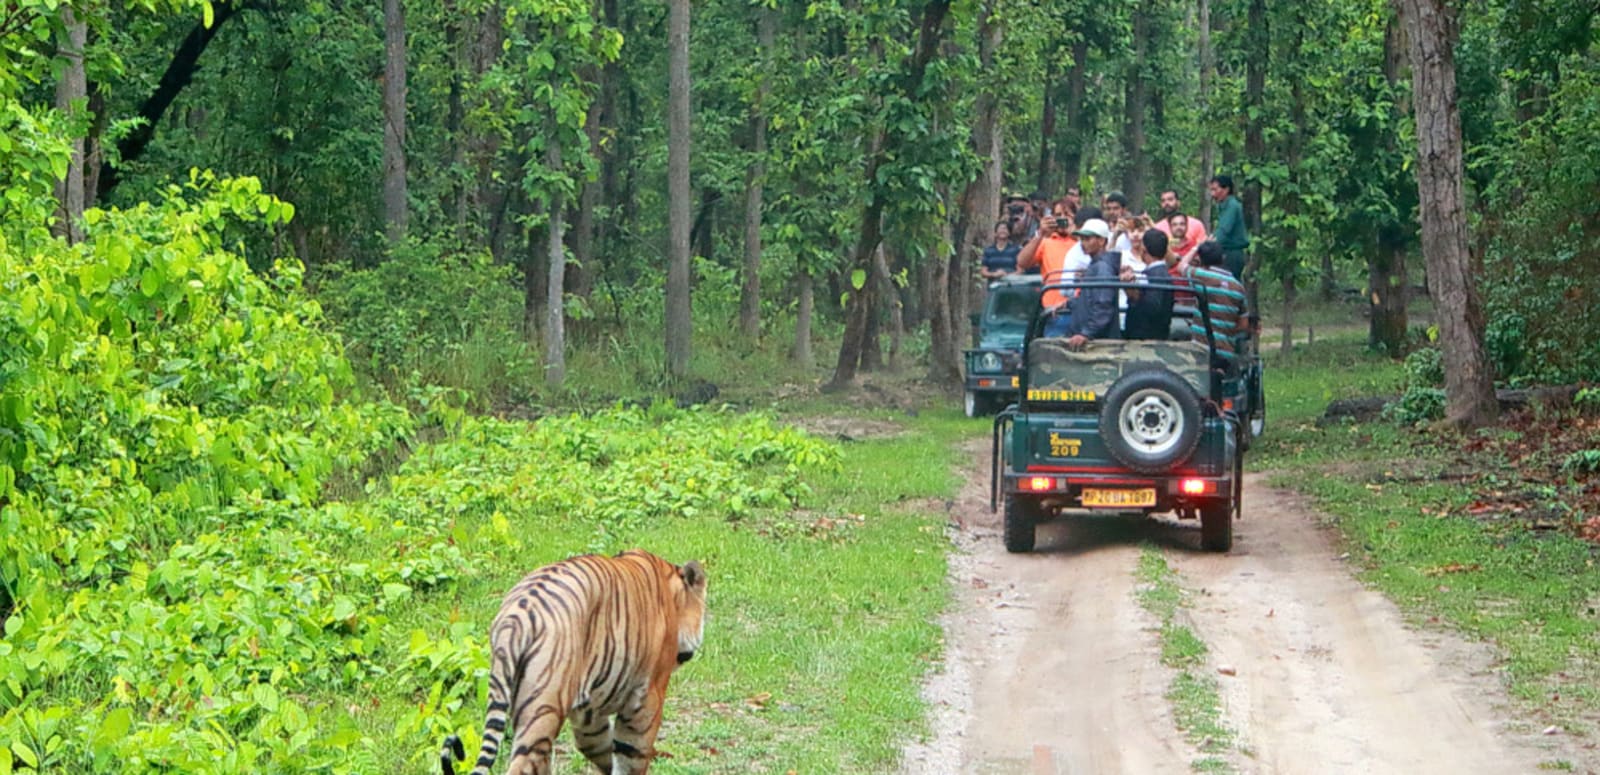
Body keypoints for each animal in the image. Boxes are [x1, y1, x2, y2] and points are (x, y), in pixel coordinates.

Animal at [441, 550, 710, 775]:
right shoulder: (648, 697)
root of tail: (516, 616)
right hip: (544, 708)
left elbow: (601, 749)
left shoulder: (588, 713)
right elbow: (631, 756)